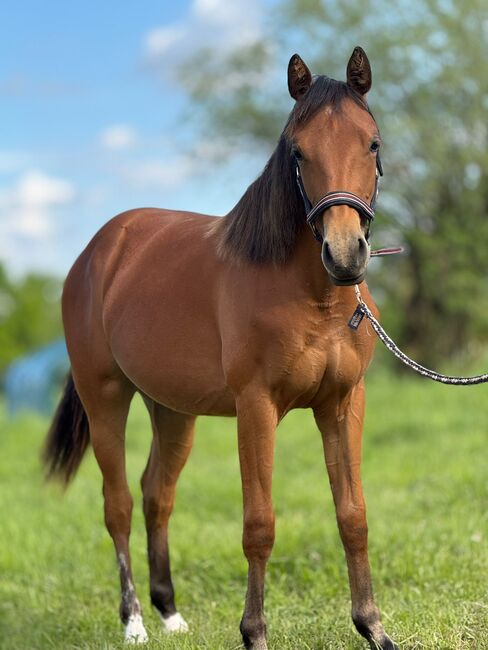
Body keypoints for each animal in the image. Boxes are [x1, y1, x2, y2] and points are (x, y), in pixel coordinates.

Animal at [44, 47, 398, 650]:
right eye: (297, 151)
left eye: (371, 143)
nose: (345, 253)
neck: (315, 297)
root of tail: (98, 251)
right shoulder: (256, 407)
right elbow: (259, 525)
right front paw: (254, 633)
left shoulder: (344, 402)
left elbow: (353, 515)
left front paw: (372, 627)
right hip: (105, 397)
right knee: (119, 504)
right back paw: (135, 622)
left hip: (171, 409)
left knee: (157, 493)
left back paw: (170, 613)